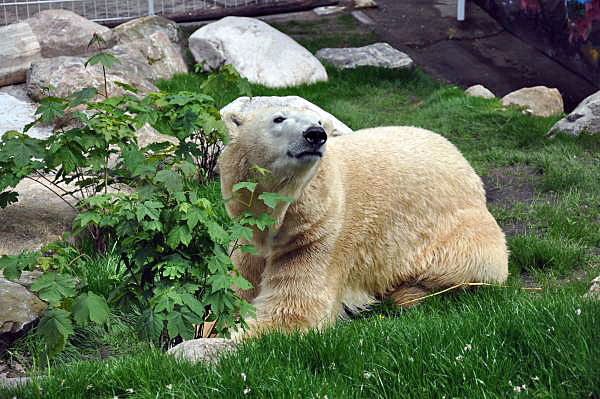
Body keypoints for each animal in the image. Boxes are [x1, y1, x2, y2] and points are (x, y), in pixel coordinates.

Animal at [218, 98, 508, 336]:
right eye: (278, 118)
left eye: (319, 121)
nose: (315, 134)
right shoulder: (248, 238)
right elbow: (235, 287)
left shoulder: (318, 235)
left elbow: (291, 312)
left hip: (459, 234)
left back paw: (406, 293)